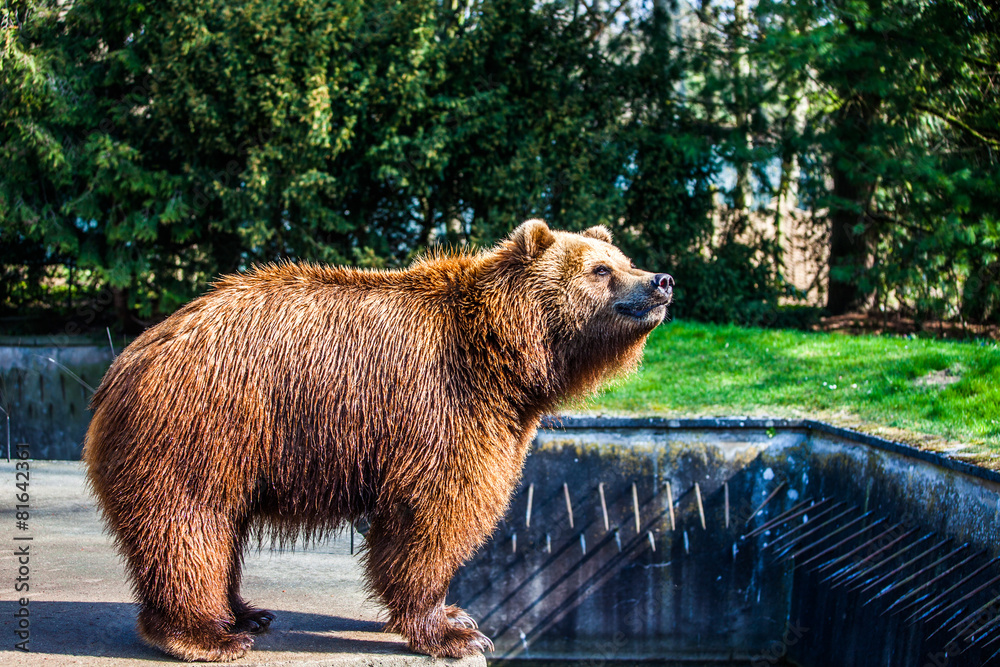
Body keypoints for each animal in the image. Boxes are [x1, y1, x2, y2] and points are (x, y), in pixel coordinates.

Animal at [82, 219, 673, 661]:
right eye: (601, 270)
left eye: (624, 258)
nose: (661, 280)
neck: (507, 358)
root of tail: (126, 361)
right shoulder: (442, 403)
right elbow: (435, 512)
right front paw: (453, 630)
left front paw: (455, 614)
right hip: (202, 426)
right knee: (190, 522)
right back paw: (206, 635)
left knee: (220, 528)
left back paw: (247, 612)